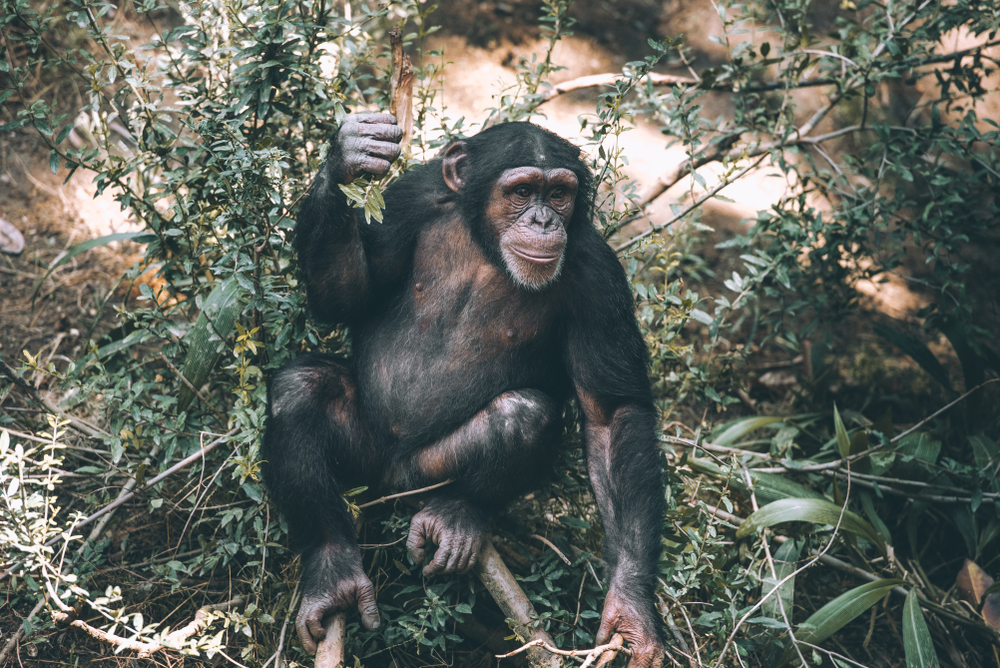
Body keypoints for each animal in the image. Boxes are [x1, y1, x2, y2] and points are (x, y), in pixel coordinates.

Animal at [262, 112, 668, 664]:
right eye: (522, 191)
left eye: (559, 194)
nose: (545, 221)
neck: (487, 248)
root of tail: (389, 484)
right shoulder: (411, 198)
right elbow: (346, 298)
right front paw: (349, 155)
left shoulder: (597, 277)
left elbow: (611, 414)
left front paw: (631, 606)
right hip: (364, 456)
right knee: (299, 390)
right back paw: (332, 572)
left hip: (425, 474)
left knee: (523, 413)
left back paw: (458, 516)